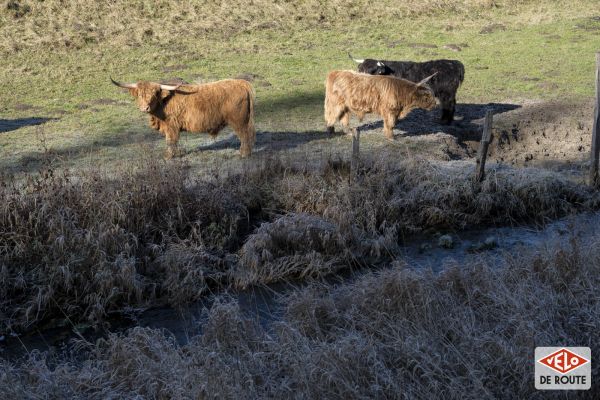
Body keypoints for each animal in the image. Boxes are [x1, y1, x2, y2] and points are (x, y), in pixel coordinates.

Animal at [111, 77, 256, 159]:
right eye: (140, 94)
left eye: (153, 95)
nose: (145, 108)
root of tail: (242, 83)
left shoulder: (171, 125)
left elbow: (171, 141)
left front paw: (169, 156)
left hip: (239, 121)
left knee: (244, 135)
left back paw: (244, 154)